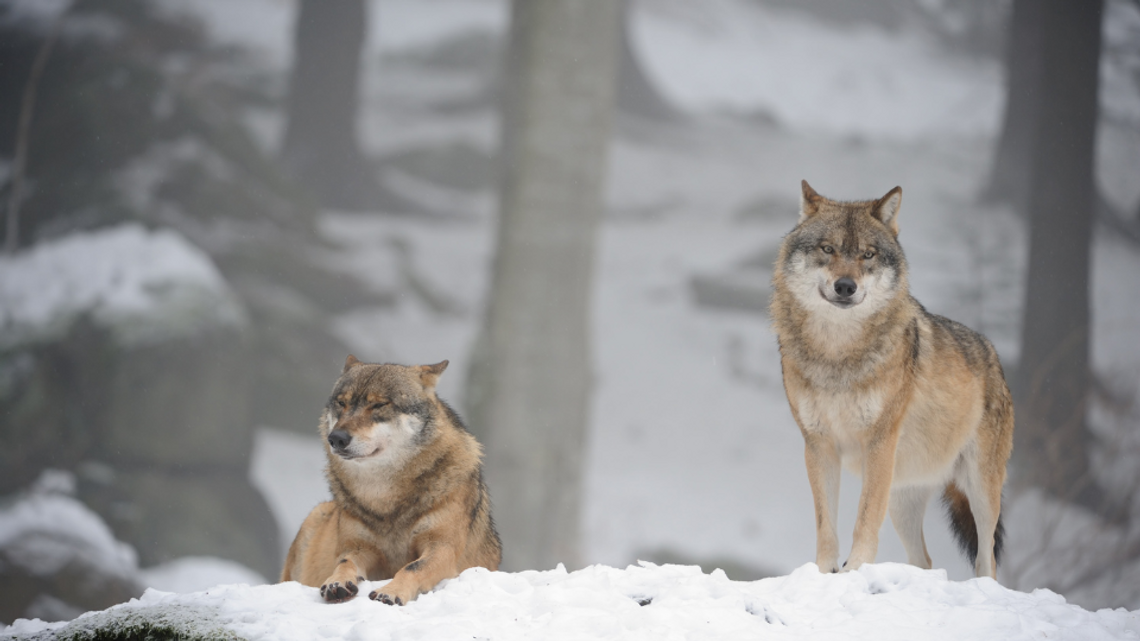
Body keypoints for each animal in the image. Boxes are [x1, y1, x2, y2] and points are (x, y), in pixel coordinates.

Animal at [279, 355, 499, 602]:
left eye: (378, 405)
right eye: (342, 403)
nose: (336, 438)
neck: (382, 494)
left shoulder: (442, 547)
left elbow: (412, 567)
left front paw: (391, 592)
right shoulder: (358, 548)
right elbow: (344, 562)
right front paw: (337, 582)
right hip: (315, 517)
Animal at [770, 181, 1012, 579]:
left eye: (867, 254)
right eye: (828, 249)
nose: (846, 286)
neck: (838, 355)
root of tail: (993, 353)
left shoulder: (879, 442)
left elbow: (865, 517)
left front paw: (855, 570)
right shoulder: (818, 445)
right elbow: (826, 525)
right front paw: (824, 573)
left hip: (980, 488)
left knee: (986, 558)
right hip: (902, 497)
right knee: (925, 561)